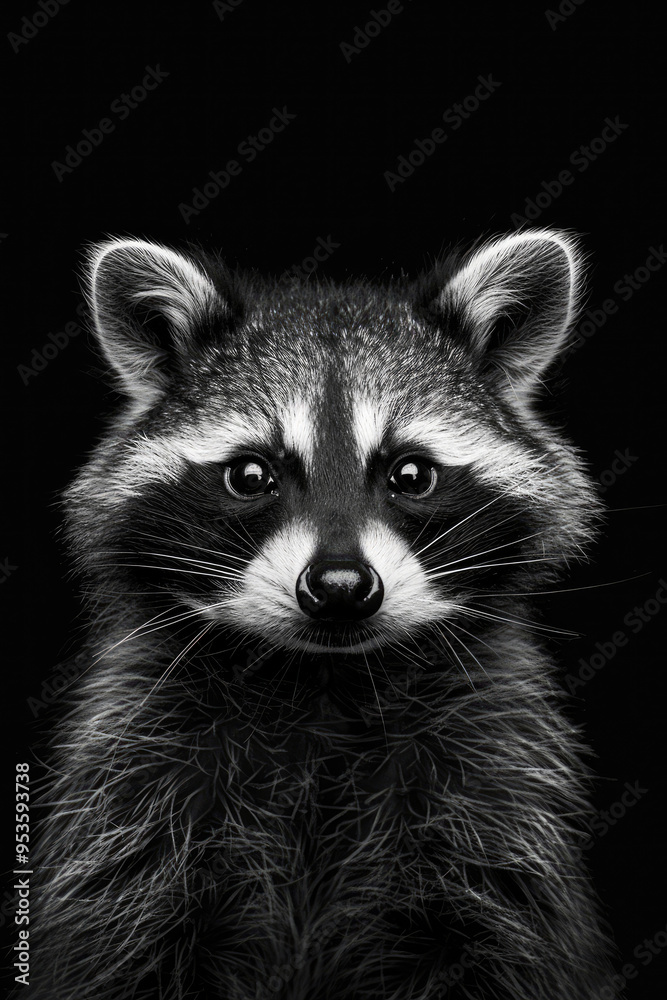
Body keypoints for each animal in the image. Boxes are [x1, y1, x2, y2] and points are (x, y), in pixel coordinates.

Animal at [30, 230, 619, 999]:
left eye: (410, 474)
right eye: (251, 475)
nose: (340, 586)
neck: (325, 682)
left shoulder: (495, 793)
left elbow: (501, 943)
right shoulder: (135, 789)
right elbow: (121, 942)